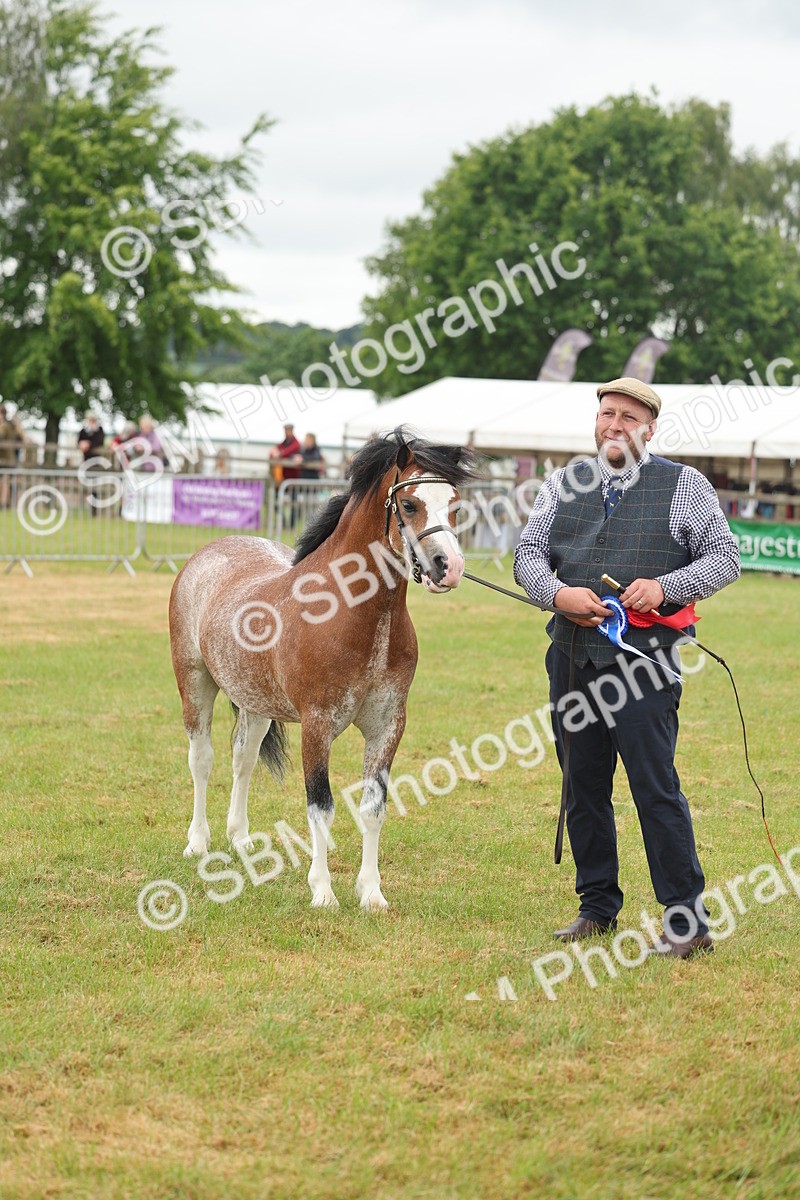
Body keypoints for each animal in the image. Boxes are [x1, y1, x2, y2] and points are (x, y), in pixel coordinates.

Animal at [168, 428, 476, 910]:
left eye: (454, 505)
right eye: (409, 505)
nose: (449, 567)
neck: (355, 614)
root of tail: (210, 552)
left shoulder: (388, 727)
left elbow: (373, 807)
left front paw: (371, 893)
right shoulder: (317, 725)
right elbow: (321, 806)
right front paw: (323, 891)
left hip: (256, 703)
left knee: (243, 760)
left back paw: (240, 839)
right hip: (195, 683)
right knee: (202, 759)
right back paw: (198, 843)